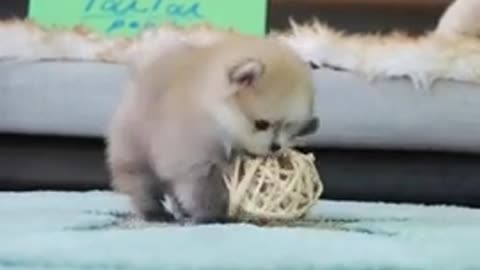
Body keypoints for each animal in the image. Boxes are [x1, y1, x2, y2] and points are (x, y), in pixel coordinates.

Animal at [107, 33, 320, 224]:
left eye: (290, 129)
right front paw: (212, 216)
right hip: (136, 151)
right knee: (141, 185)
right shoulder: (195, 160)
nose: (275, 147)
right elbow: (203, 191)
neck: (216, 116)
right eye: (261, 124)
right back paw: (154, 212)